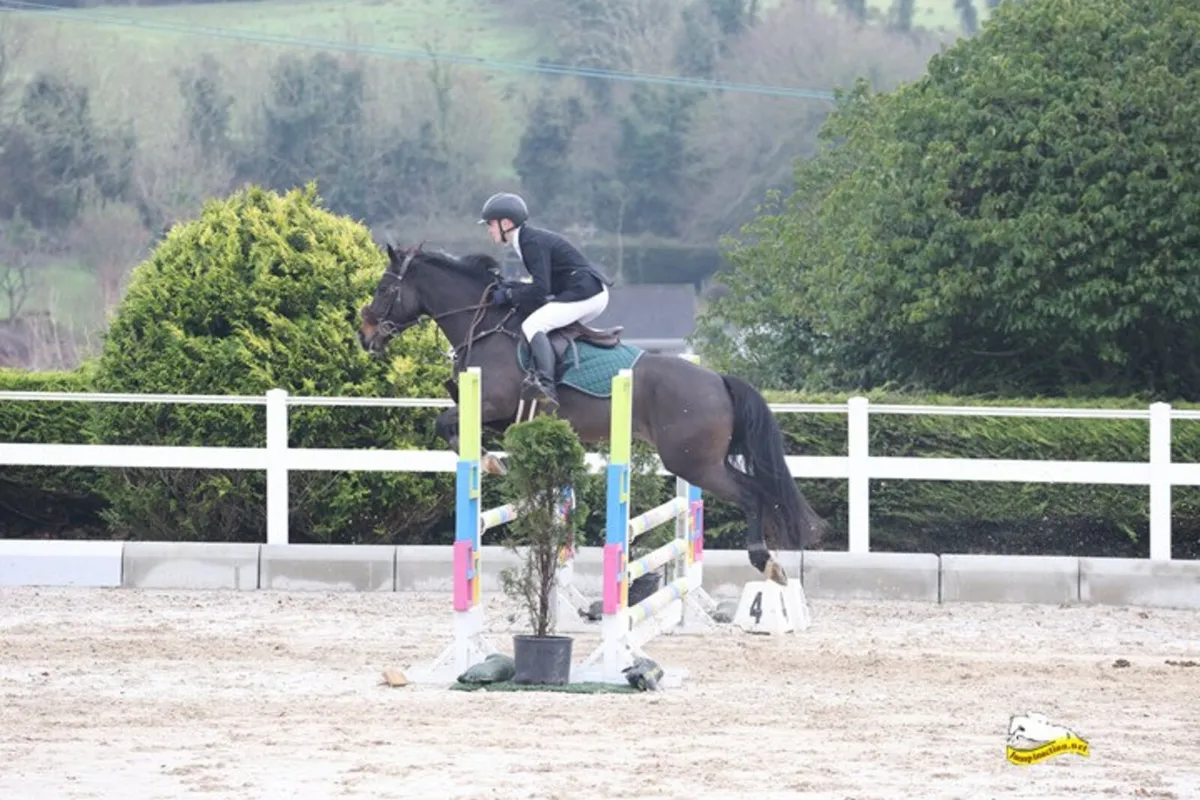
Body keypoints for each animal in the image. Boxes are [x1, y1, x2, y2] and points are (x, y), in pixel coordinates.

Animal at [357, 242, 828, 585]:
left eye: (383, 289)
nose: (365, 337)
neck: (486, 324)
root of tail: (718, 381)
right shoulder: (502, 418)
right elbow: (454, 422)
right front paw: (490, 458)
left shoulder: (494, 403)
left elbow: (444, 422)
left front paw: (488, 462)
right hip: (702, 460)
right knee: (759, 490)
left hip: (693, 462)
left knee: (752, 494)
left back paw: (765, 560)